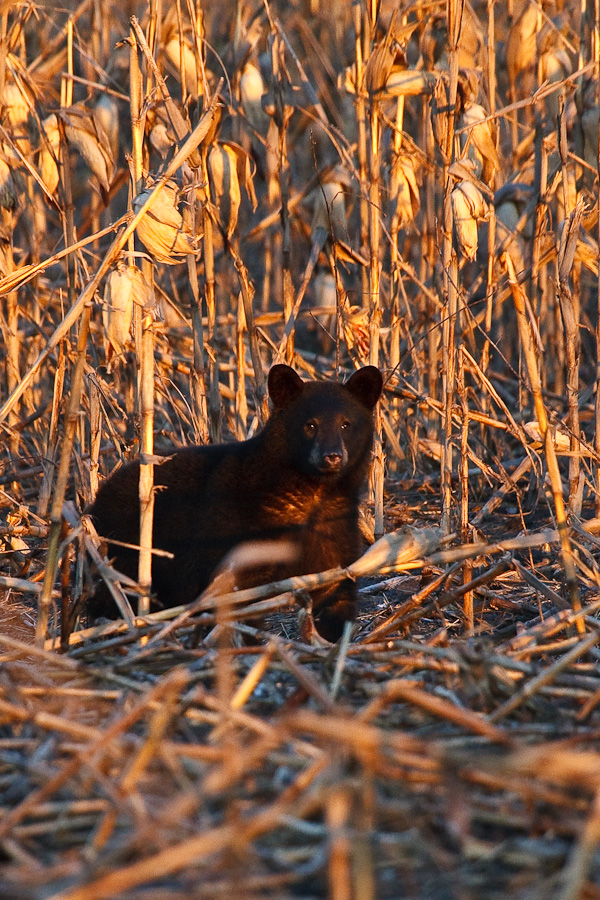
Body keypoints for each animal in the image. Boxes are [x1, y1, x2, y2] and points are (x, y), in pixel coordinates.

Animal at [86, 364, 382, 640]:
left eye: (346, 424)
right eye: (310, 425)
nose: (332, 456)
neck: (312, 494)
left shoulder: (335, 536)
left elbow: (337, 594)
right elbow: (239, 599)